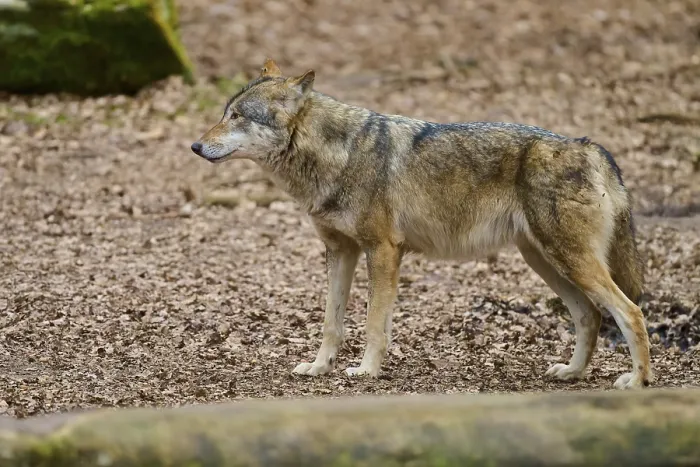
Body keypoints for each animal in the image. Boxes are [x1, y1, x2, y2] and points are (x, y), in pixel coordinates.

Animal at [191, 58, 652, 390]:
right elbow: (331, 322)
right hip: (544, 261)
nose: (195, 146)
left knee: (630, 312)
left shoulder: (382, 251)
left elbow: (373, 323)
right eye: (225, 113)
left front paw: (366, 371)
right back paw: (572, 374)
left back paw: (637, 381)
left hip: (567, 261)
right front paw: (321, 367)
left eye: (237, 116)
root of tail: (592, 148)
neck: (337, 154)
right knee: (590, 315)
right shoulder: (339, 251)